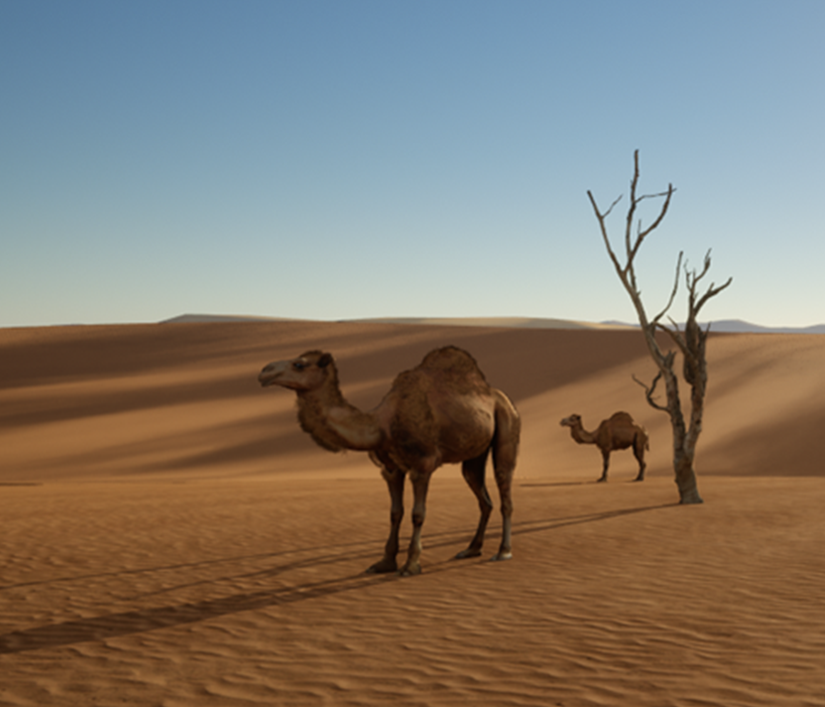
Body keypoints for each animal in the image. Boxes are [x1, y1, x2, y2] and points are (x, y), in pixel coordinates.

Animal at [258, 346, 520, 576]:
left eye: (299, 364)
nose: (264, 371)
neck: (383, 424)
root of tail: (501, 397)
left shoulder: (423, 464)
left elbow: (417, 514)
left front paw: (411, 565)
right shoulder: (391, 468)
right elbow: (395, 512)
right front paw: (384, 562)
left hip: (507, 423)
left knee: (504, 486)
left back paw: (503, 551)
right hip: (475, 452)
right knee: (481, 493)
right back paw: (471, 549)